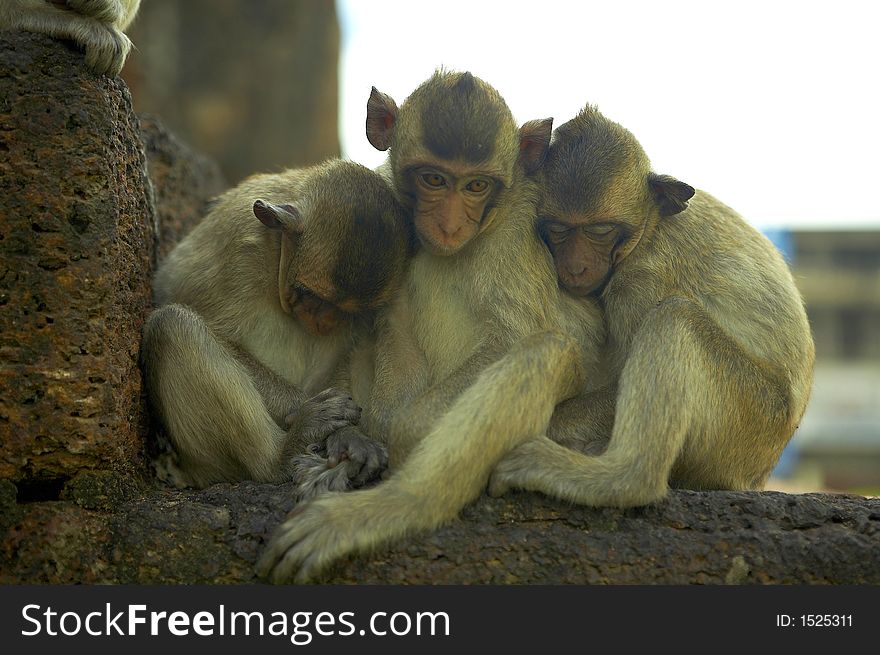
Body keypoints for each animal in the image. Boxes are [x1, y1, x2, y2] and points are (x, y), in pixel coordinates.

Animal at [139, 160, 410, 498]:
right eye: (311, 295)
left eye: (347, 311)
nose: (322, 322)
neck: (275, 248)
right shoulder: (240, 249)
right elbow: (208, 326)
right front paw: (319, 415)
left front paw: (349, 435)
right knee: (172, 325)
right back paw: (280, 456)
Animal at [258, 70, 608, 584]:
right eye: (434, 179)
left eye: (477, 186)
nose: (448, 226)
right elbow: (393, 331)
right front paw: (352, 440)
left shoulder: (515, 230)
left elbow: (515, 337)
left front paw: (386, 447)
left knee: (546, 350)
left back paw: (395, 506)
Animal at [484, 105, 816, 510]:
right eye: (559, 230)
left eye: (600, 231)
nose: (575, 267)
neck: (651, 228)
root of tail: (764, 468)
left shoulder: (639, 284)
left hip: (749, 420)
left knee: (675, 318)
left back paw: (620, 479)